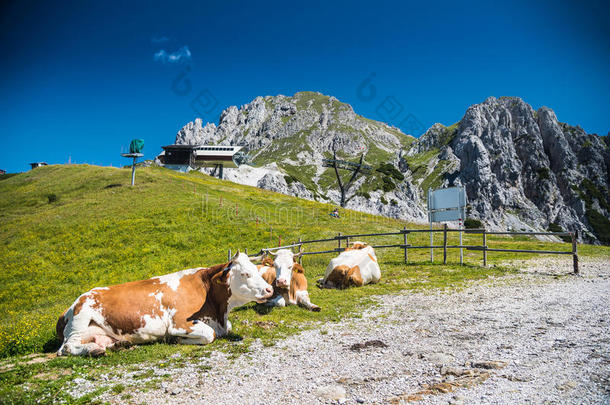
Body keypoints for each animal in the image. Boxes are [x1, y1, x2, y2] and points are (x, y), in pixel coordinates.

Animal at [56, 251, 270, 356]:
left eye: (257, 270)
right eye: (245, 274)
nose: (269, 289)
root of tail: (68, 307)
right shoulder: (180, 323)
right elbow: (210, 334)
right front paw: (175, 340)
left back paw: (117, 345)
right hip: (80, 318)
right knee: (66, 348)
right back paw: (94, 351)